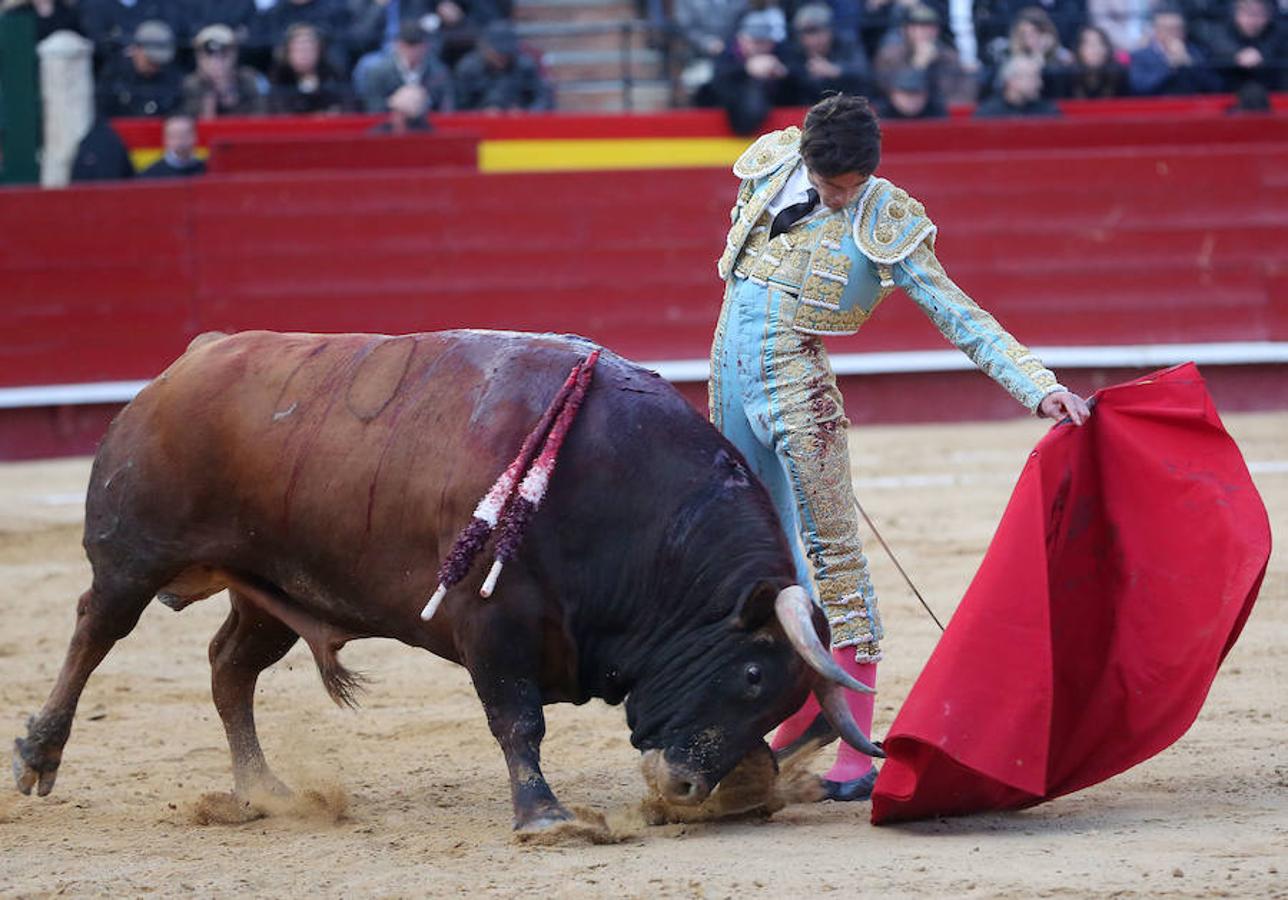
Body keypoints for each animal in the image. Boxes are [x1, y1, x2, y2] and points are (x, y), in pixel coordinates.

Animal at [10, 329, 880, 829]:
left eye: (780, 697)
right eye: (752, 673)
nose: (689, 787)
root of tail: (194, 356)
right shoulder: (490, 622)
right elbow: (517, 721)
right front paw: (547, 818)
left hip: (275, 587)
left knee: (229, 667)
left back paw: (266, 793)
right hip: (134, 553)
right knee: (94, 631)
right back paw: (37, 757)